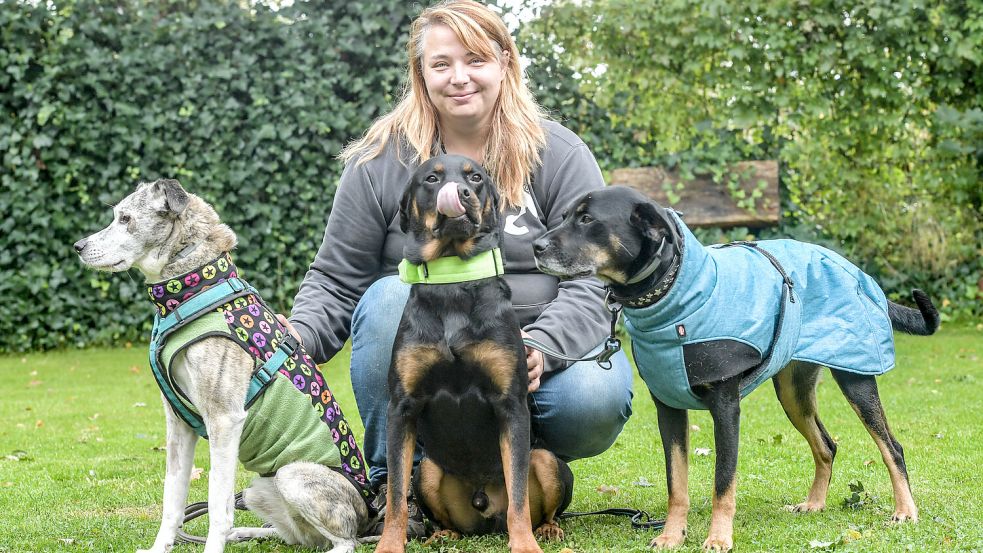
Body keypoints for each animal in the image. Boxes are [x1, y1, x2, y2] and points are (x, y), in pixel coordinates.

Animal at [75, 179, 374, 548]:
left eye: (126, 218)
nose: (78, 246)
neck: (191, 289)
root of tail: (368, 511)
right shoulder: (179, 423)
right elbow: (172, 499)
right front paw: (160, 547)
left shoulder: (223, 419)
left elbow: (218, 504)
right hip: (260, 490)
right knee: (298, 538)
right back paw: (246, 533)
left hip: (293, 475)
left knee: (345, 541)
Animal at [376, 154, 576, 552]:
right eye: (432, 178)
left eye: (477, 178)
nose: (462, 193)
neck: (452, 280)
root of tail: (486, 510)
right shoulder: (402, 407)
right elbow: (395, 496)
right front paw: (388, 544)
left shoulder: (510, 405)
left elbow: (518, 495)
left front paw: (525, 544)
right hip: (428, 470)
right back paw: (443, 532)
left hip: (546, 459)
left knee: (536, 503)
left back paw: (547, 529)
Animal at [536, 187, 940, 552]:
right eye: (565, 216)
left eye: (587, 220)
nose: (537, 246)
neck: (674, 296)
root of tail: (859, 275)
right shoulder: (669, 410)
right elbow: (676, 484)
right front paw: (671, 536)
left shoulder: (726, 409)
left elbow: (723, 483)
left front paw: (718, 538)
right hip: (793, 392)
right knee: (827, 445)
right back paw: (815, 503)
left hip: (855, 377)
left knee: (892, 446)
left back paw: (905, 510)